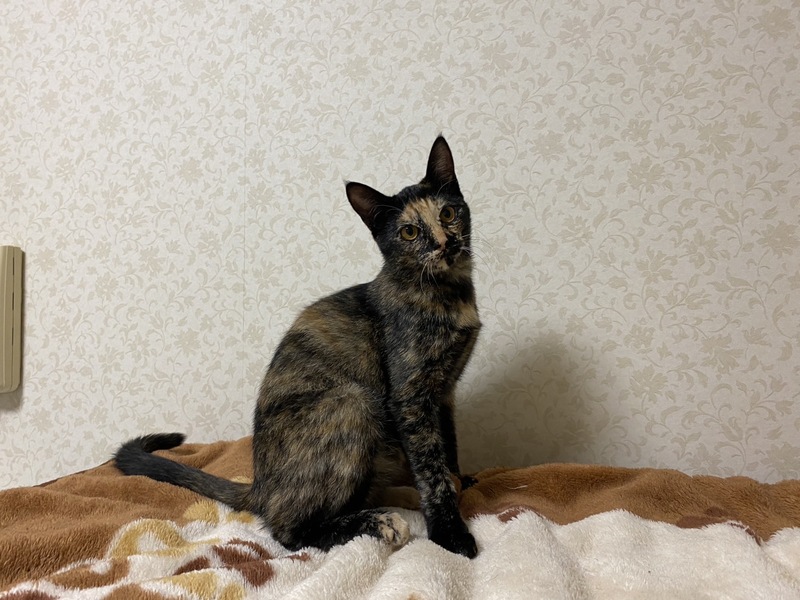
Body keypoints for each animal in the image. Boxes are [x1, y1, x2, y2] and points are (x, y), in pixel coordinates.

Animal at [114, 135, 480, 558]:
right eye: (408, 232)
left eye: (448, 212)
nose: (445, 242)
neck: (448, 292)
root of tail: (260, 486)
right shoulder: (412, 397)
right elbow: (432, 469)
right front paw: (451, 533)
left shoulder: (443, 393)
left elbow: (448, 450)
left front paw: (462, 482)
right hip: (354, 402)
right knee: (289, 529)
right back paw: (376, 523)